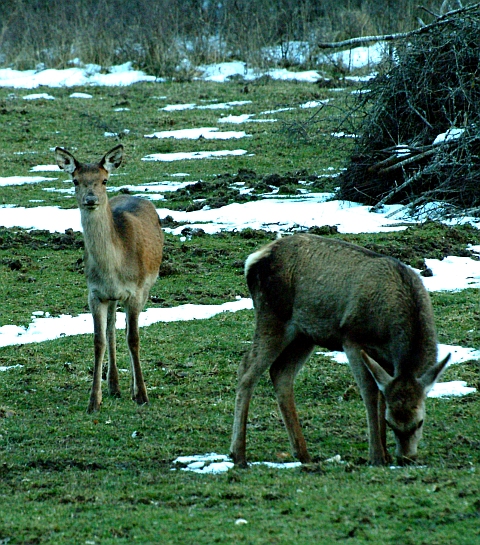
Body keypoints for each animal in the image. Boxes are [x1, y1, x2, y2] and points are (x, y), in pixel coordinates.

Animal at [55, 144, 164, 412]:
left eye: (104, 180)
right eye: (75, 180)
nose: (91, 199)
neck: (113, 268)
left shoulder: (136, 291)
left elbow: (133, 338)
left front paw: (142, 394)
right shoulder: (95, 294)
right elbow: (99, 340)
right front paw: (94, 400)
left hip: (146, 286)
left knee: (125, 330)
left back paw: (131, 388)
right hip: (113, 298)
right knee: (112, 328)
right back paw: (113, 384)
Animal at [232, 232, 450, 466]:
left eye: (420, 422)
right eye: (391, 423)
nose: (406, 458)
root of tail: (252, 260)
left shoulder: (385, 360)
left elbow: (383, 396)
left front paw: (386, 453)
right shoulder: (352, 338)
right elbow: (370, 393)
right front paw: (376, 456)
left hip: (304, 334)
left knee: (280, 372)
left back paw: (303, 454)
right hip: (272, 315)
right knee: (246, 370)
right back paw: (238, 454)